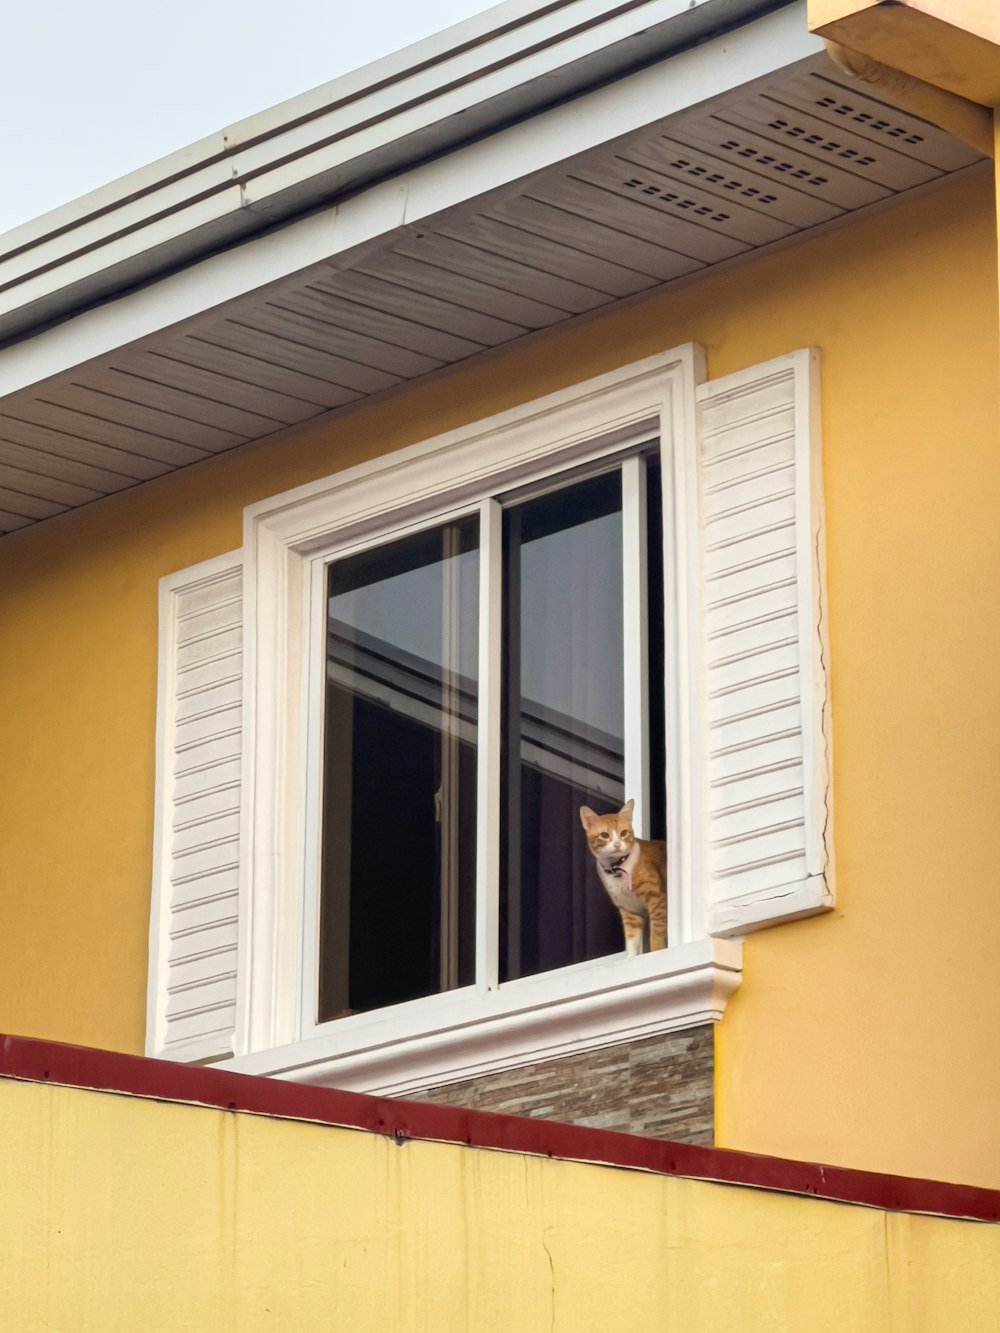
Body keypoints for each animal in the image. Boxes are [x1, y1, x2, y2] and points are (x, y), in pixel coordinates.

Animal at [578, 794, 666, 954]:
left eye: (623, 833)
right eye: (604, 835)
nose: (618, 844)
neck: (617, 867)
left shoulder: (656, 898)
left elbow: (656, 933)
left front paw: (657, 951)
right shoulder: (629, 910)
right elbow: (632, 939)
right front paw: (631, 957)